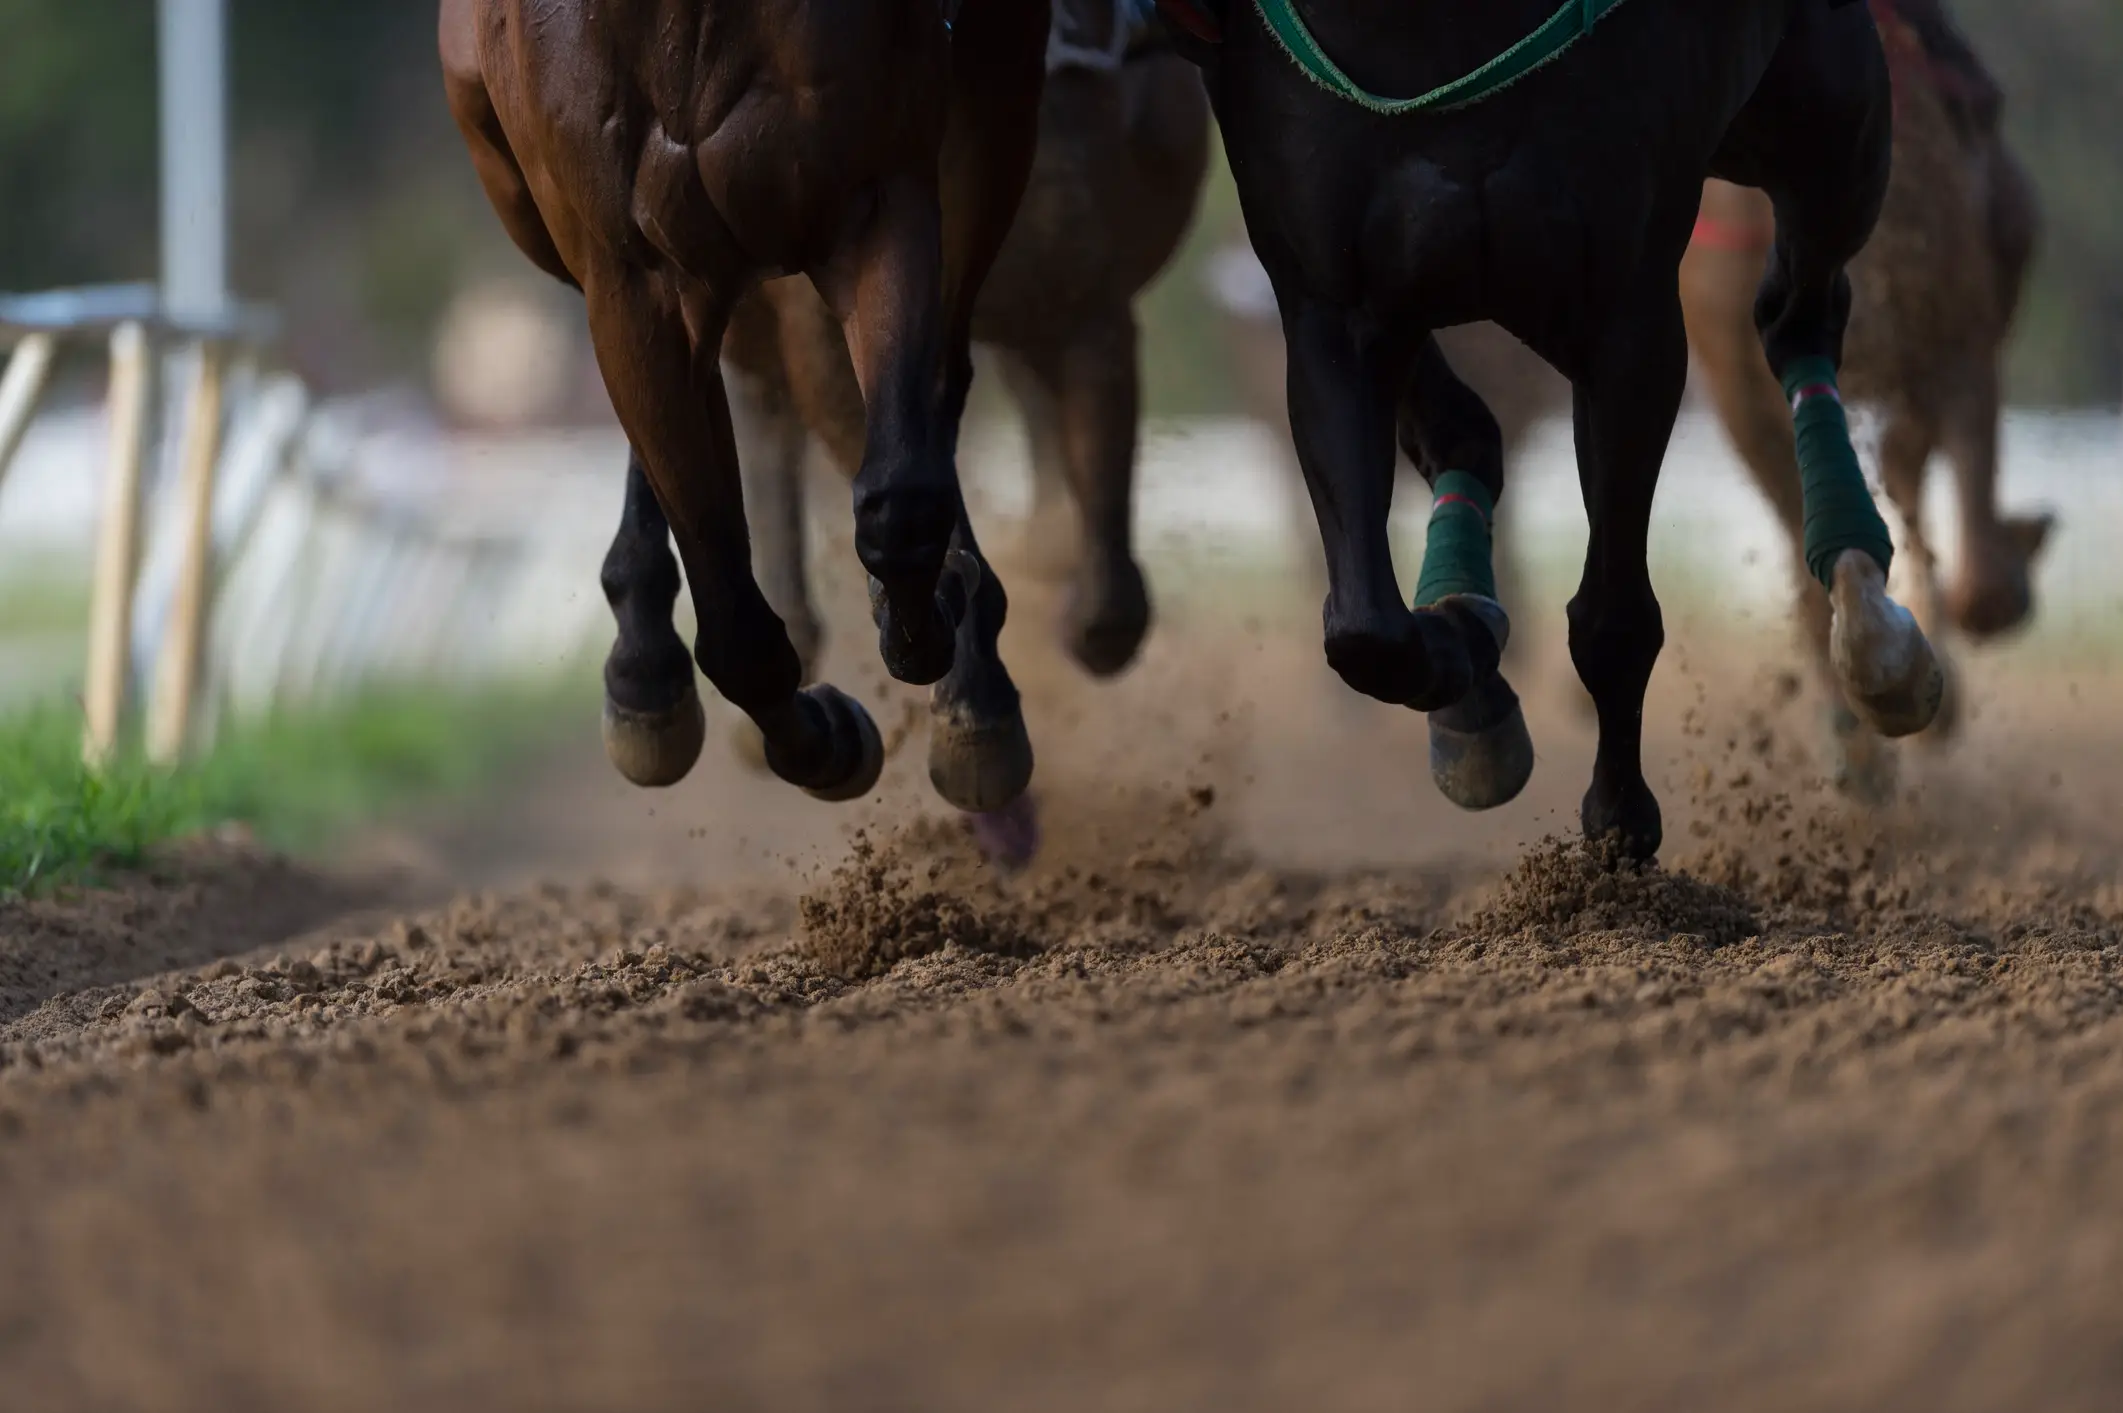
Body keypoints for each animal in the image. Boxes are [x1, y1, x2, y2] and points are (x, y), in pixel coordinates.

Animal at [439, 0, 1052, 818]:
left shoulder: (876, 197)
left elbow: (901, 502)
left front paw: (940, 633)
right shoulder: (630, 276)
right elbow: (734, 628)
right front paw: (826, 739)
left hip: (992, 115)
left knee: (935, 386)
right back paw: (646, 669)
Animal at [1179, 0, 2035, 814]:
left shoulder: (1640, 321)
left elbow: (1617, 610)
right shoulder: (1333, 303)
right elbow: (1367, 623)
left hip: (1834, 169)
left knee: (1815, 341)